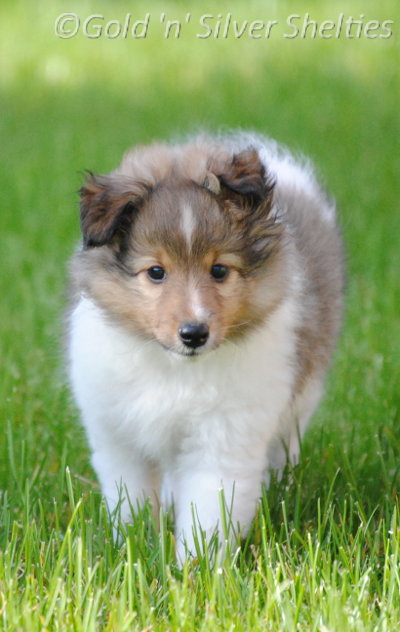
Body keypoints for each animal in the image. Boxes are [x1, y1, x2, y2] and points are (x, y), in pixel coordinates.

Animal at [68, 131, 344, 556]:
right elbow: (130, 502)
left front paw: (194, 568)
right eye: (156, 272)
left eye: (219, 270)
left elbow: (209, 511)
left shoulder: (223, 440)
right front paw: (132, 547)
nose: (194, 333)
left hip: (299, 400)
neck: (174, 369)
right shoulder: (118, 436)